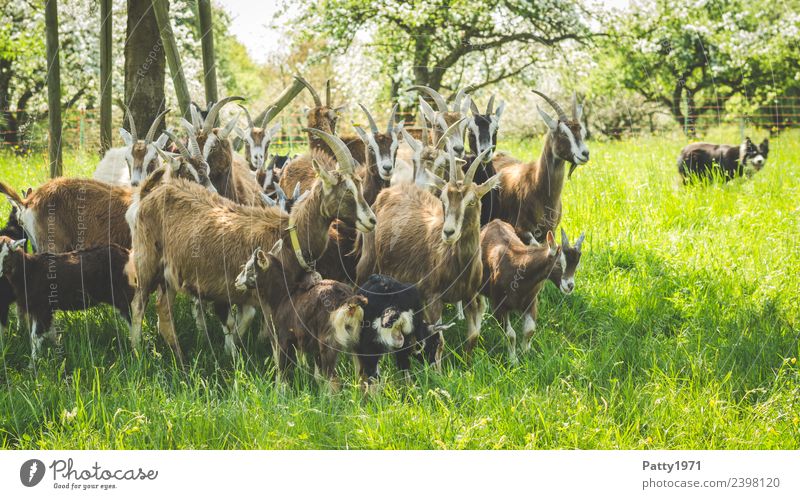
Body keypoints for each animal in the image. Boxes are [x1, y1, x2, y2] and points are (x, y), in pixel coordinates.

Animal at [0, 238, 135, 364]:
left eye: (6, 256)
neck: (29, 271)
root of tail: (126, 253)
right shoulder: (40, 309)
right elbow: (48, 333)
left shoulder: (42, 308)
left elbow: (35, 336)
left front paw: (33, 364)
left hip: (124, 295)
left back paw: (136, 351)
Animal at [132, 127, 378, 366]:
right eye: (347, 191)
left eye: (359, 185)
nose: (371, 220)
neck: (289, 236)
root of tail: (151, 194)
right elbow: (242, 324)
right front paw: (234, 354)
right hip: (146, 261)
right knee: (138, 304)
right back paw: (137, 352)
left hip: (169, 275)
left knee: (163, 310)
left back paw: (179, 357)